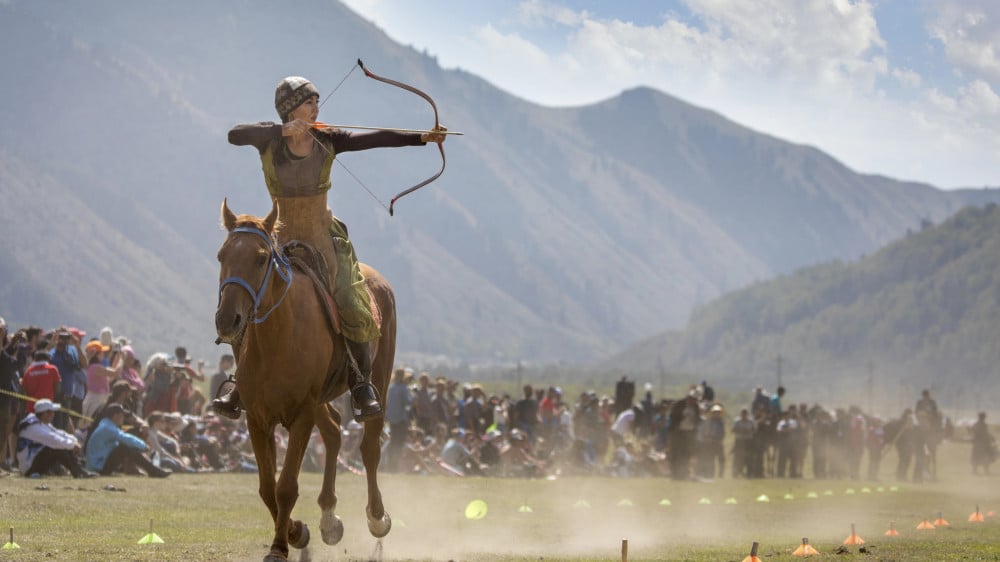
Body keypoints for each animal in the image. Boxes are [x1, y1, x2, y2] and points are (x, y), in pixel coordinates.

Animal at [215, 199, 394, 556]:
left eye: (261, 258)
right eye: (221, 256)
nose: (227, 319)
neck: (276, 339)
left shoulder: (301, 415)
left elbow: (285, 487)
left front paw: (279, 547)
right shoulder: (258, 418)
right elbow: (267, 487)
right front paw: (297, 532)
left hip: (378, 379)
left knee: (369, 446)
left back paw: (377, 517)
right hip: (321, 398)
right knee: (335, 430)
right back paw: (329, 518)